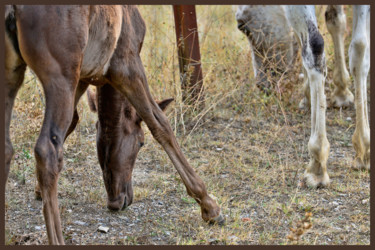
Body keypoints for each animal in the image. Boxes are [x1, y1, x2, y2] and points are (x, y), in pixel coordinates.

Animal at [5, 4, 223, 245]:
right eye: (141, 143)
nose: (116, 201)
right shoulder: (126, 66)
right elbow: (159, 123)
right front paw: (209, 206)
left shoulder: (84, 76)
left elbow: (72, 123)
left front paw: (37, 190)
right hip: (60, 77)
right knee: (46, 150)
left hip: (13, 76)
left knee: (7, 148)